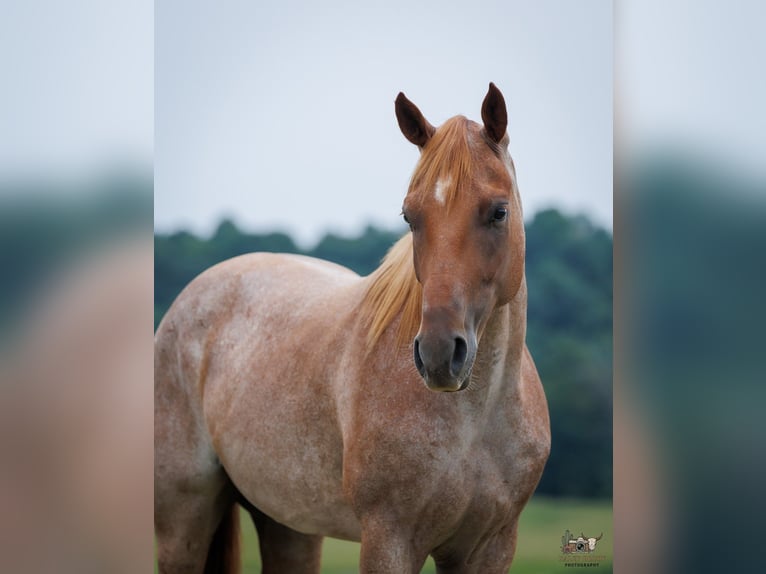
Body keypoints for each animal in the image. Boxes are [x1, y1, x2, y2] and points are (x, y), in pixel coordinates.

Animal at [155, 83, 550, 574]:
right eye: (409, 216)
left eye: (498, 212)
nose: (439, 355)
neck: (476, 422)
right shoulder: (389, 538)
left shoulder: (489, 547)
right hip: (183, 522)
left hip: (289, 526)